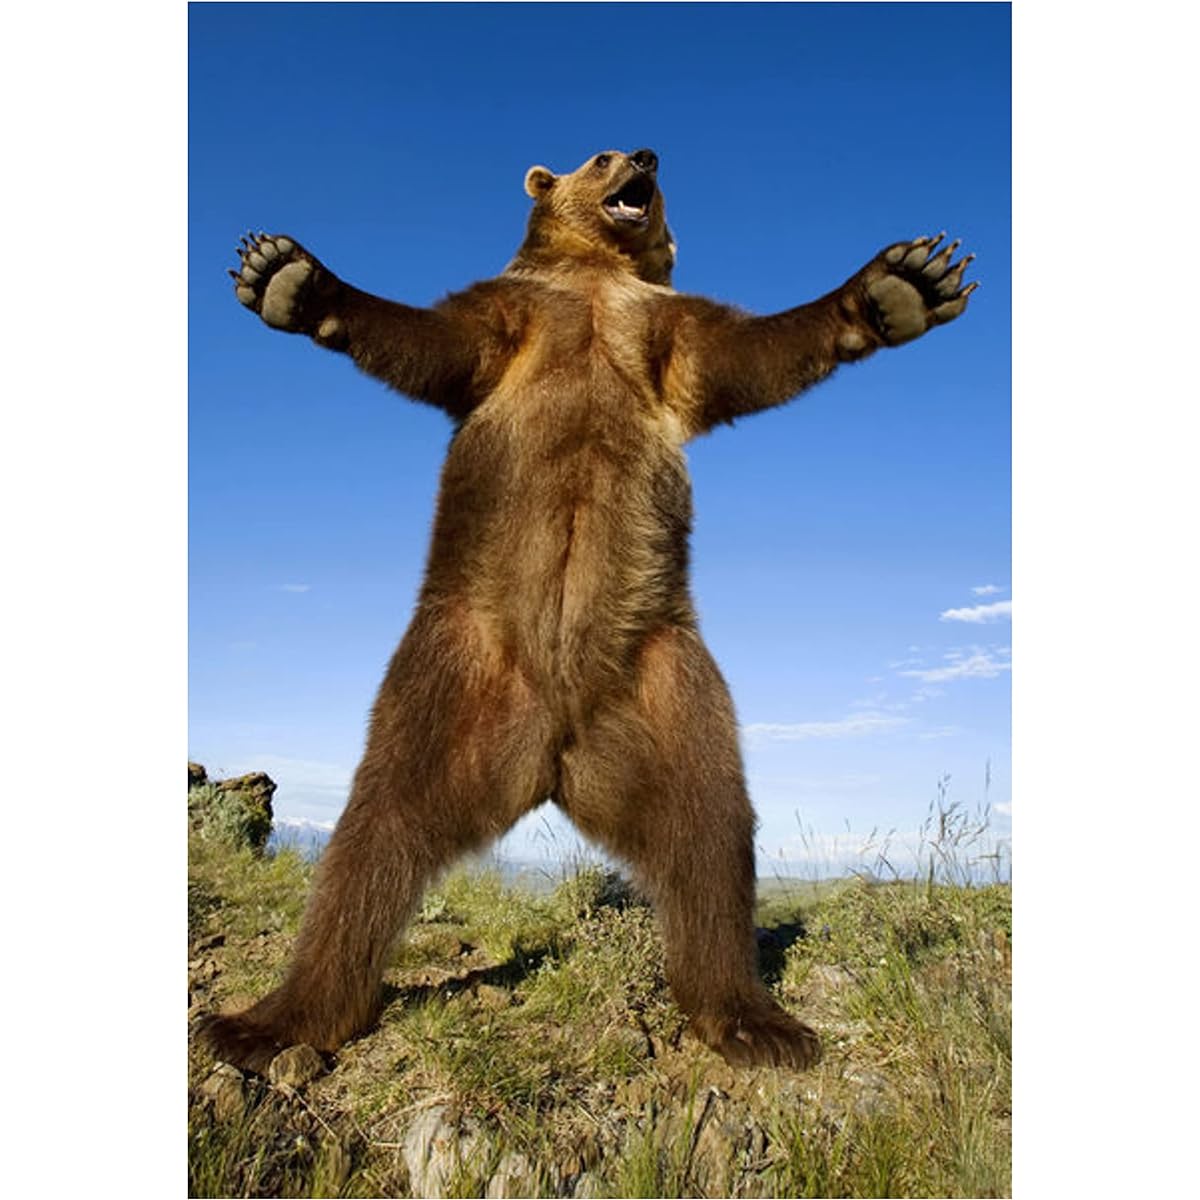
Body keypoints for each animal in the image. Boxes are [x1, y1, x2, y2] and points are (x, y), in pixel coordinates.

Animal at [197, 147, 975, 1073]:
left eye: (640, 161)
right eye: (599, 156)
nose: (643, 156)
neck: (598, 280)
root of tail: (552, 752)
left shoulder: (662, 331)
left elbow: (742, 354)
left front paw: (905, 286)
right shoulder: (516, 317)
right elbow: (436, 342)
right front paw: (286, 277)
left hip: (670, 687)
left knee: (710, 834)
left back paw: (753, 1020)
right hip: (452, 670)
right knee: (375, 832)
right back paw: (264, 1022)